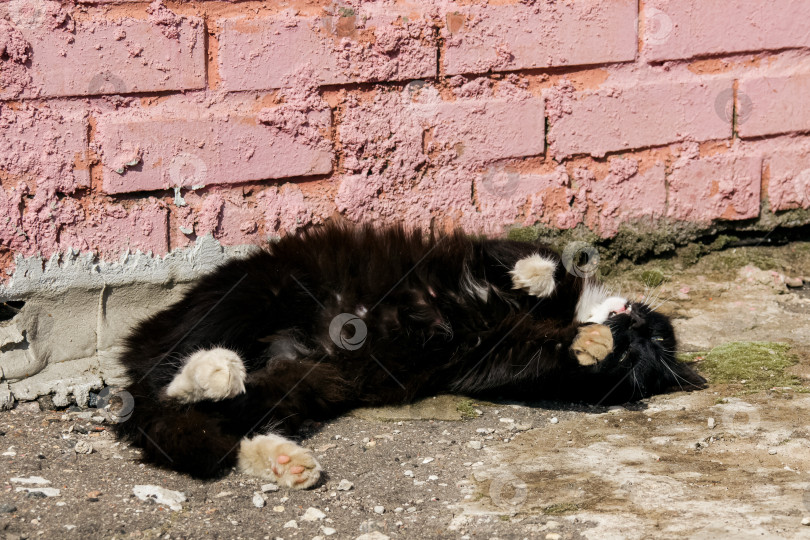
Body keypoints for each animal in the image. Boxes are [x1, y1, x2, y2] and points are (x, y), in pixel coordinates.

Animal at [113, 224, 700, 490]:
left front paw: (588, 347)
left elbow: (540, 352)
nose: (628, 330)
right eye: (647, 332)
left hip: (307, 380)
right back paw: (214, 370)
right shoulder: (487, 253)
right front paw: (538, 279)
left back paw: (280, 457)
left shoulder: (494, 360)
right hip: (253, 296)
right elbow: (537, 264)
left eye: (636, 358)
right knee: (158, 385)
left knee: (201, 414)